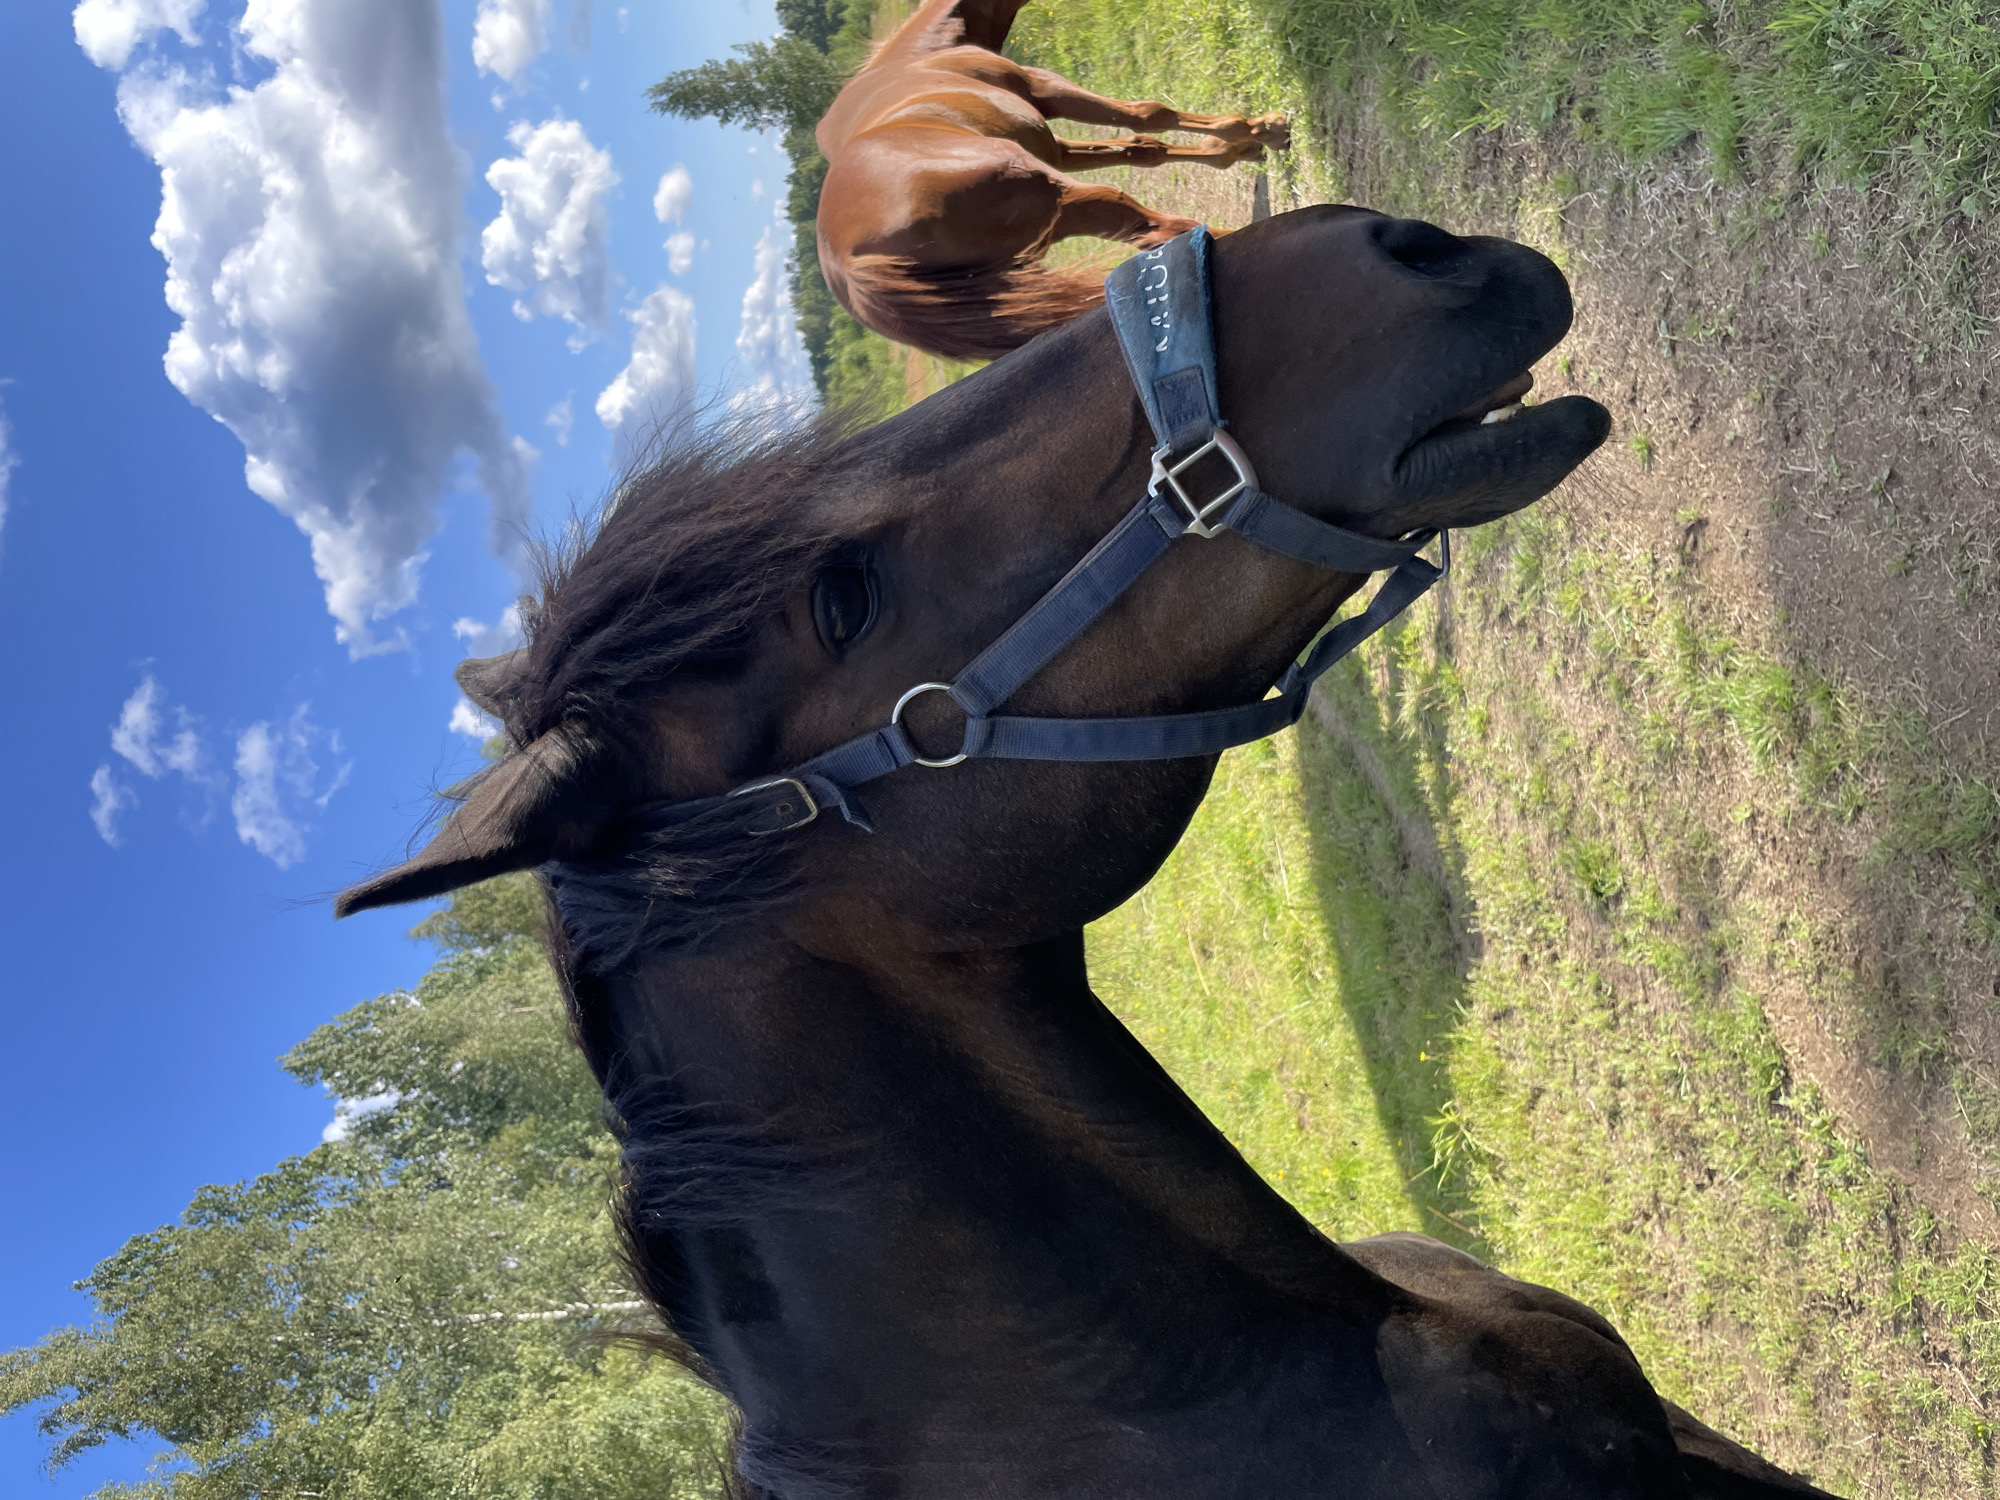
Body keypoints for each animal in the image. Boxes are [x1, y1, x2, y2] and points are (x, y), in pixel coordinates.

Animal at [813, 0, 1288, 361]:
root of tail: (848, 264)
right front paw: (1259, 129)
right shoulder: (1046, 89)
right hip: (1064, 195)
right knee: (1160, 227)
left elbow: (1142, 149)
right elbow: (1149, 114)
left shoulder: (1053, 146)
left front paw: (1239, 146)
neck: (924, 56)